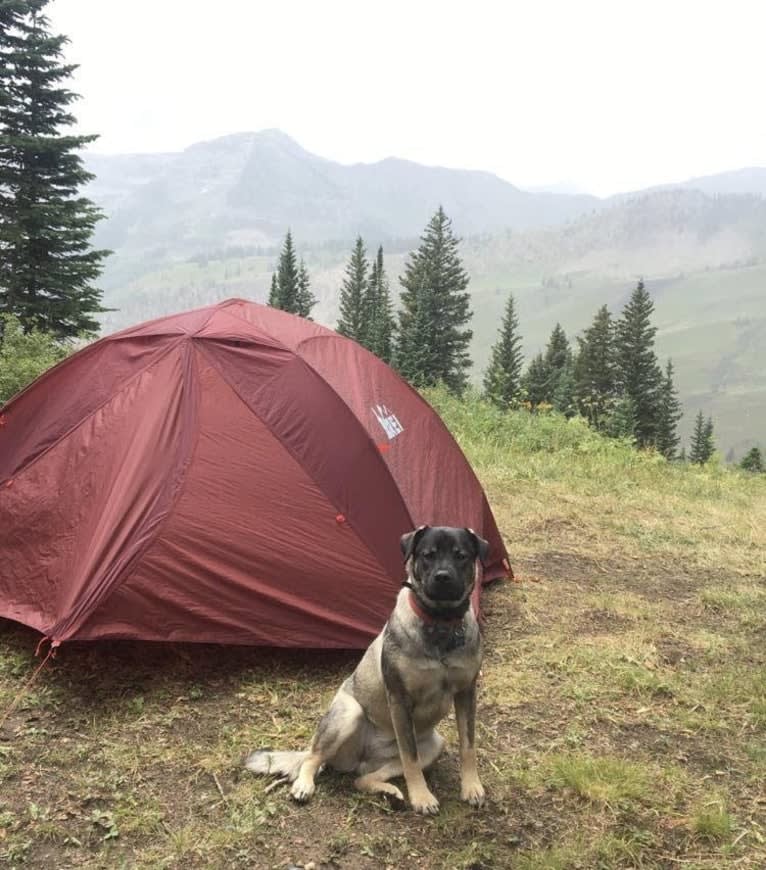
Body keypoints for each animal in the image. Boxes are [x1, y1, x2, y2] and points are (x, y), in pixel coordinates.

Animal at [246, 524, 488, 816]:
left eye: (460, 556)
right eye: (428, 555)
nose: (443, 577)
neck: (440, 623)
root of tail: (365, 758)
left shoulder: (466, 693)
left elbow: (468, 745)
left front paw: (472, 787)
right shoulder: (399, 698)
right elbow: (410, 757)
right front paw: (421, 797)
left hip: (433, 746)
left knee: (362, 779)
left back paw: (389, 794)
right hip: (349, 714)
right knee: (314, 757)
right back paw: (304, 785)